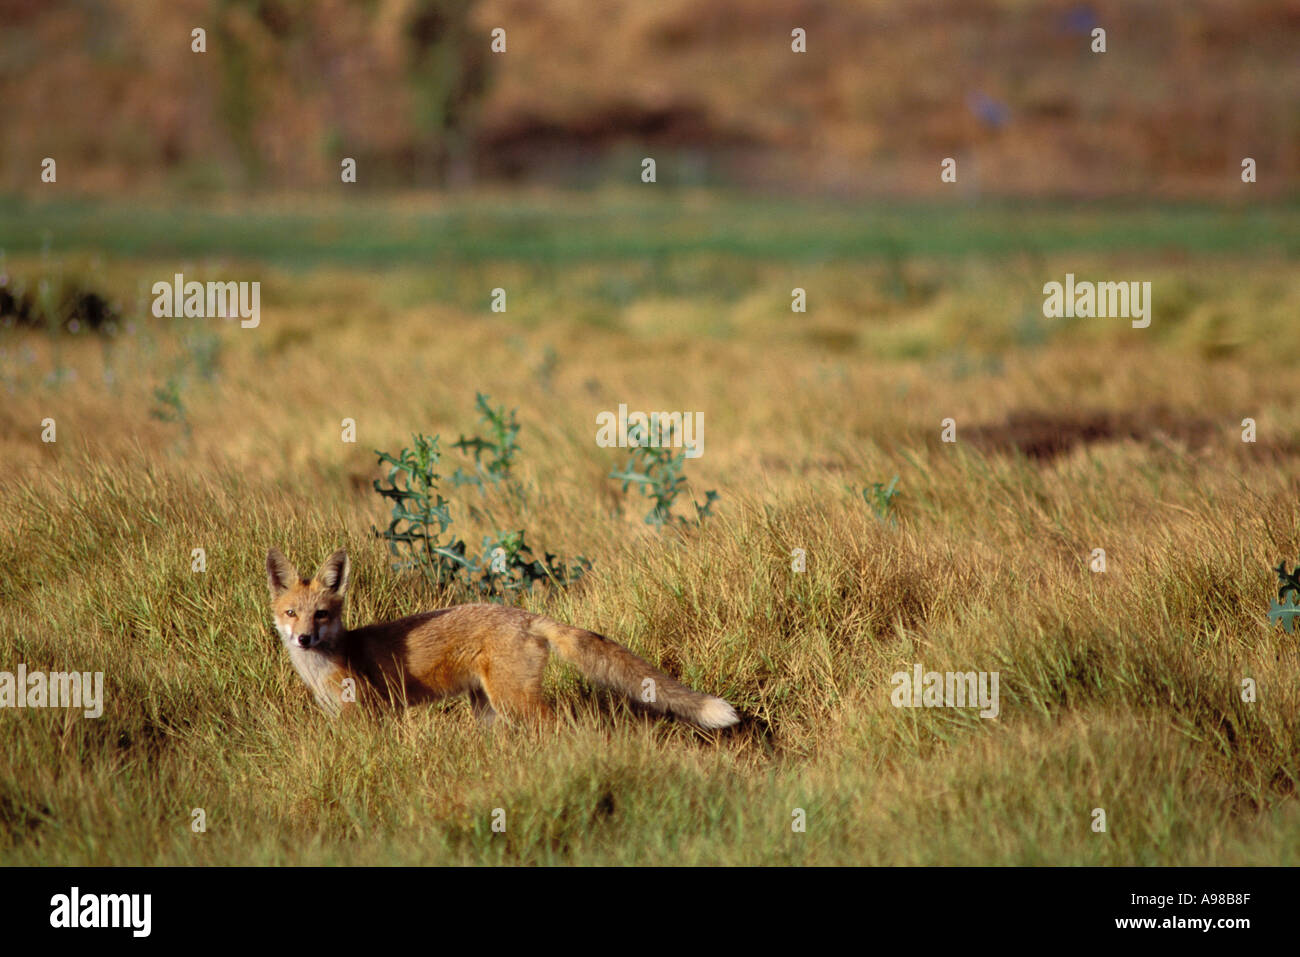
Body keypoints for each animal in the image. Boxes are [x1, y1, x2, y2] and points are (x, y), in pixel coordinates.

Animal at [265, 547, 740, 730]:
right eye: (291, 613)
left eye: (321, 614)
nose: (304, 638)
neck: (324, 667)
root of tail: (527, 615)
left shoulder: (369, 716)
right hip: (488, 709)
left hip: (515, 702)